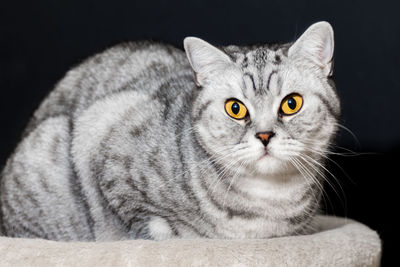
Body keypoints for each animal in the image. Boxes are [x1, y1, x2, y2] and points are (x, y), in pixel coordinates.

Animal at [0, 22, 340, 242]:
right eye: (235, 108)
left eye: (291, 103)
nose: (265, 135)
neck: (268, 203)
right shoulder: (103, 129)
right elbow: (152, 226)